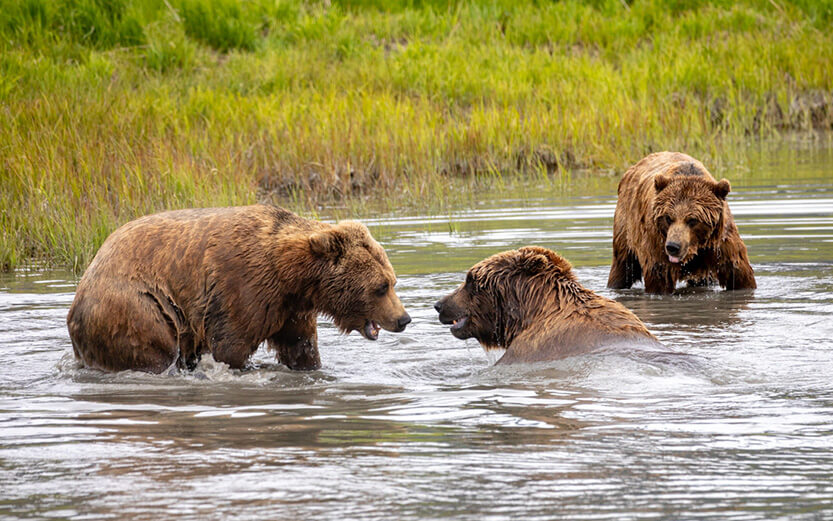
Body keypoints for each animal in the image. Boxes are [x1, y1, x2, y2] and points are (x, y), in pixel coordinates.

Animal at [67, 204, 411, 373]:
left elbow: (300, 347)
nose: (404, 319)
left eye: (392, 281)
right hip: (137, 308)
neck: (293, 276)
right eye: (380, 287)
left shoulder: (289, 307)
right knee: (153, 351)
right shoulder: (242, 287)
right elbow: (230, 347)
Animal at [607, 151, 756, 294]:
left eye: (693, 220)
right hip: (626, 228)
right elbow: (660, 279)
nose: (673, 246)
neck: (696, 248)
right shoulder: (657, 243)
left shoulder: (720, 244)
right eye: (668, 218)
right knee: (622, 266)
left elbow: (739, 274)